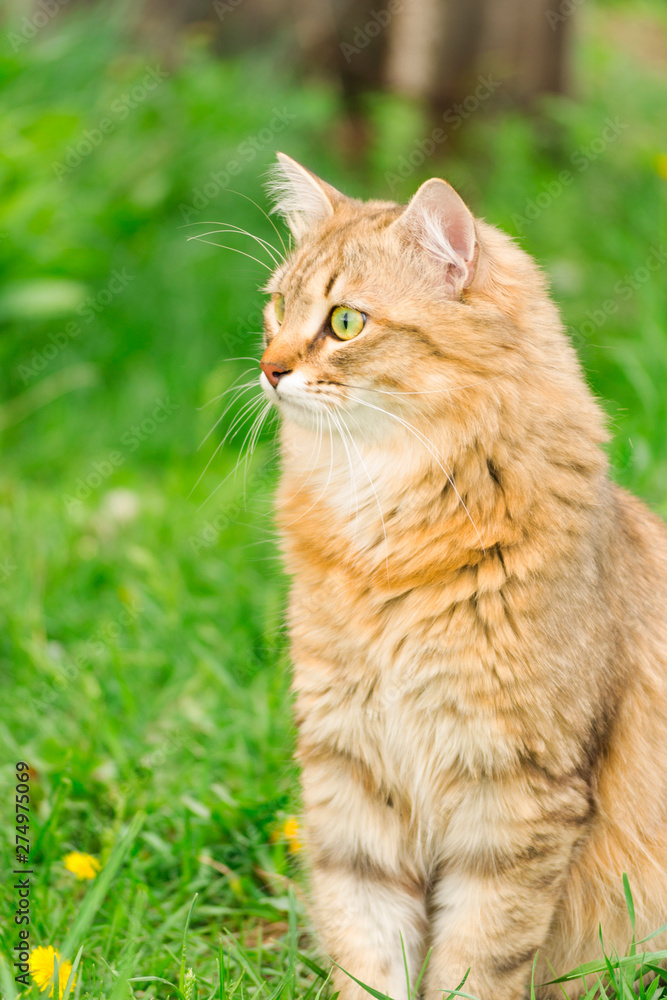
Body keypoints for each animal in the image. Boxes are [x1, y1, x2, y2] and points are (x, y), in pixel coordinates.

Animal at [256, 152, 667, 996]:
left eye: (344, 322)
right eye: (277, 307)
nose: (268, 369)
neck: (382, 539)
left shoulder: (514, 789)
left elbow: (477, 958)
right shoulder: (350, 773)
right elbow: (367, 948)